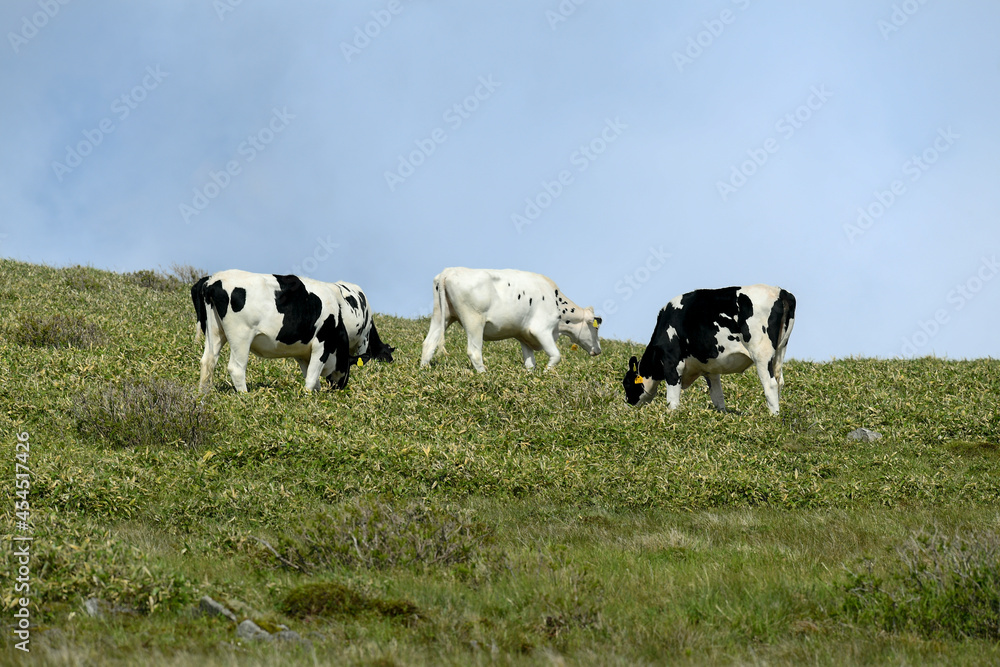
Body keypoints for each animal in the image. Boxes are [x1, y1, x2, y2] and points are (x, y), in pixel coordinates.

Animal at [189, 270, 392, 394]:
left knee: (208, 361)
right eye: (348, 365)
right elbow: (312, 376)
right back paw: (245, 395)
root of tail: (212, 280)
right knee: (236, 368)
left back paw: (203, 395)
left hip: (215, 332)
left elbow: (310, 374)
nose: (340, 387)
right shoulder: (323, 344)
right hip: (241, 336)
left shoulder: (302, 353)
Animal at [416, 268, 596, 374]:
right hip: (473, 320)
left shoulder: (524, 335)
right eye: (596, 327)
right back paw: (484, 375)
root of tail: (449, 271)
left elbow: (530, 363)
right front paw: (546, 373)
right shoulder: (542, 329)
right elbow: (556, 355)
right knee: (474, 351)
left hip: (442, 315)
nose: (598, 350)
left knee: (429, 343)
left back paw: (424, 371)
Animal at [620, 284, 792, 414]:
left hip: (761, 353)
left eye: (626, 383)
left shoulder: (672, 363)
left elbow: (672, 398)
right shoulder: (711, 370)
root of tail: (780, 291)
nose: (627, 402)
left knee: (770, 384)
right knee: (779, 381)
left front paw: (672, 414)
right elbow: (718, 397)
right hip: (780, 351)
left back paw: (772, 416)